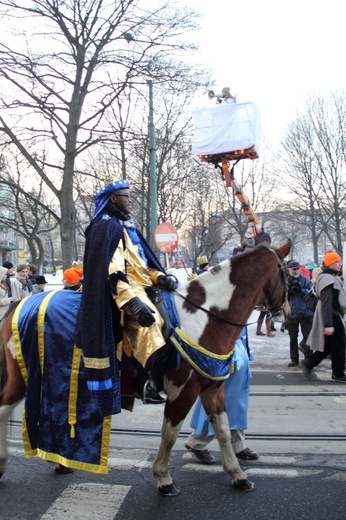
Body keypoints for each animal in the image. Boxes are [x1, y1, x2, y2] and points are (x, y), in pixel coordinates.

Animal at [0, 242, 290, 494]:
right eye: (287, 274)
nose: (284, 313)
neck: (205, 315)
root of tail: (21, 305)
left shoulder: (211, 388)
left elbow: (222, 431)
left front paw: (237, 474)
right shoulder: (182, 391)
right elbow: (170, 433)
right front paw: (163, 478)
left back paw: (59, 462)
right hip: (22, 379)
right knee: (4, 408)